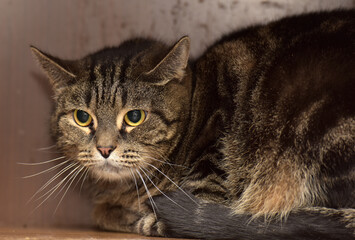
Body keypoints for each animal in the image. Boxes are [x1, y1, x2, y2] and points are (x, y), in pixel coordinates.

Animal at [32, 9, 354, 240]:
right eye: (82, 117)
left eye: (135, 117)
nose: (105, 149)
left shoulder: (209, 181)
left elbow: (111, 213)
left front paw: (137, 217)